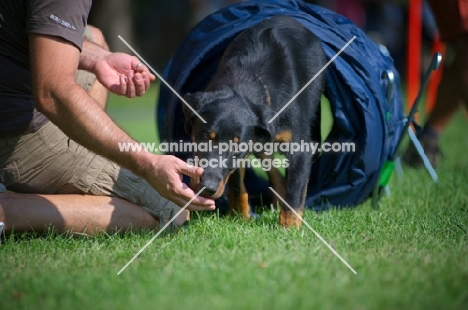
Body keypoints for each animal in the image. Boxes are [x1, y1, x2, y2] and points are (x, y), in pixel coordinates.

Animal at [183, 15, 326, 228]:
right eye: (206, 136)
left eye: (236, 146)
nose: (207, 188)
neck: (246, 81)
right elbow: (236, 185)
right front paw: (240, 218)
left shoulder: (299, 148)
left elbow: (295, 192)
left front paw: (289, 229)